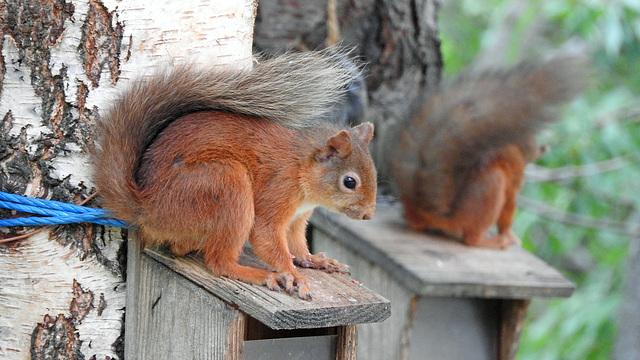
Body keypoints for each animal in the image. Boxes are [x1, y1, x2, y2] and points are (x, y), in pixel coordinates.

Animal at [92, 50, 378, 298]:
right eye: (349, 181)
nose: (369, 215)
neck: (301, 170)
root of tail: (147, 207)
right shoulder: (278, 190)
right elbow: (266, 237)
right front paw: (294, 275)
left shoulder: (298, 219)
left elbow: (297, 245)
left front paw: (316, 260)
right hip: (225, 185)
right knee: (219, 262)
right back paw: (259, 274)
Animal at [388, 54, 588, 249]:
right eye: (531, 140)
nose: (541, 148)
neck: (514, 146)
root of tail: (440, 216)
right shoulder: (514, 177)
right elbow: (508, 208)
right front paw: (510, 236)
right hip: (492, 187)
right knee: (471, 238)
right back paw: (493, 241)